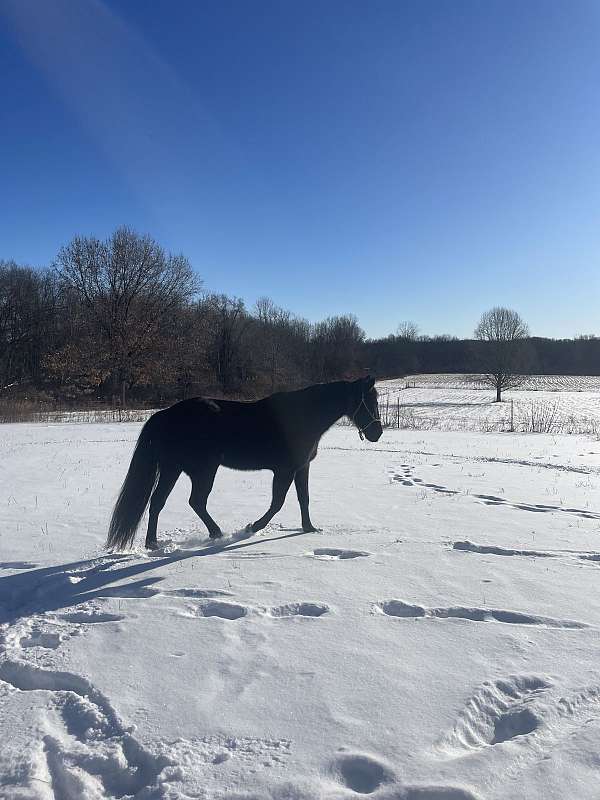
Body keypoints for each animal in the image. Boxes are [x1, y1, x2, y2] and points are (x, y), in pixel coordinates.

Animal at [106, 376, 382, 552]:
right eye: (370, 401)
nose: (377, 433)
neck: (303, 416)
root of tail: (165, 414)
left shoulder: (302, 468)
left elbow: (304, 498)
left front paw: (309, 528)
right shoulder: (284, 470)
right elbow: (277, 503)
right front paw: (253, 527)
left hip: (173, 469)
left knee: (159, 502)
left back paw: (154, 543)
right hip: (202, 470)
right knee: (194, 501)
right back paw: (213, 534)